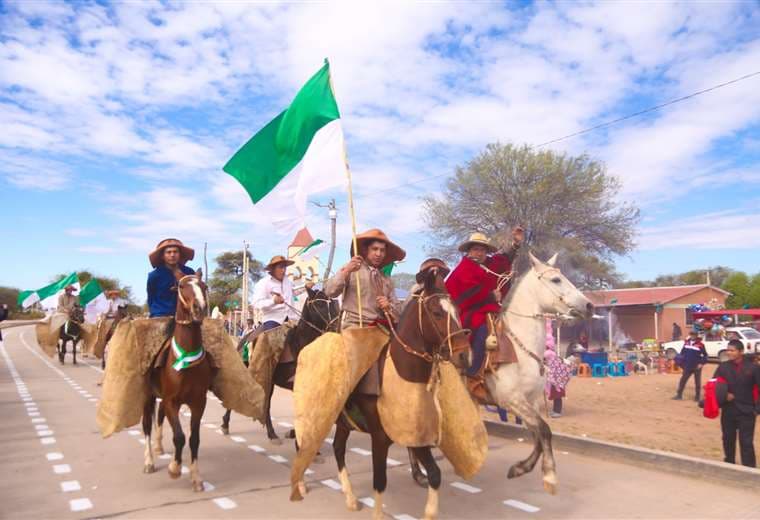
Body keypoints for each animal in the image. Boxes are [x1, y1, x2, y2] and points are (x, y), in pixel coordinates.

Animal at [140, 274, 209, 494]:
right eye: (181, 285)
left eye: (204, 286)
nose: (199, 308)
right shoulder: (172, 402)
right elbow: (179, 436)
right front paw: (174, 468)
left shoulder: (198, 403)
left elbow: (194, 439)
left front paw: (196, 478)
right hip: (148, 397)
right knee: (147, 425)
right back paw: (149, 461)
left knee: (160, 416)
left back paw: (159, 447)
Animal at [304, 268, 470, 520]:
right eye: (436, 313)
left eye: (458, 311)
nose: (464, 355)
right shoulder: (379, 439)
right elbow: (379, 481)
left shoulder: (416, 435)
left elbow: (435, 474)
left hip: (343, 423)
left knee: (338, 449)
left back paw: (350, 498)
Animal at [484, 253, 596, 496]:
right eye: (556, 279)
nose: (589, 306)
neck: (518, 349)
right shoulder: (511, 400)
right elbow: (544, 430)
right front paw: (550, 476)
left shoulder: (531, 400)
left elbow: (537, 433)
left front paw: (520, 468)